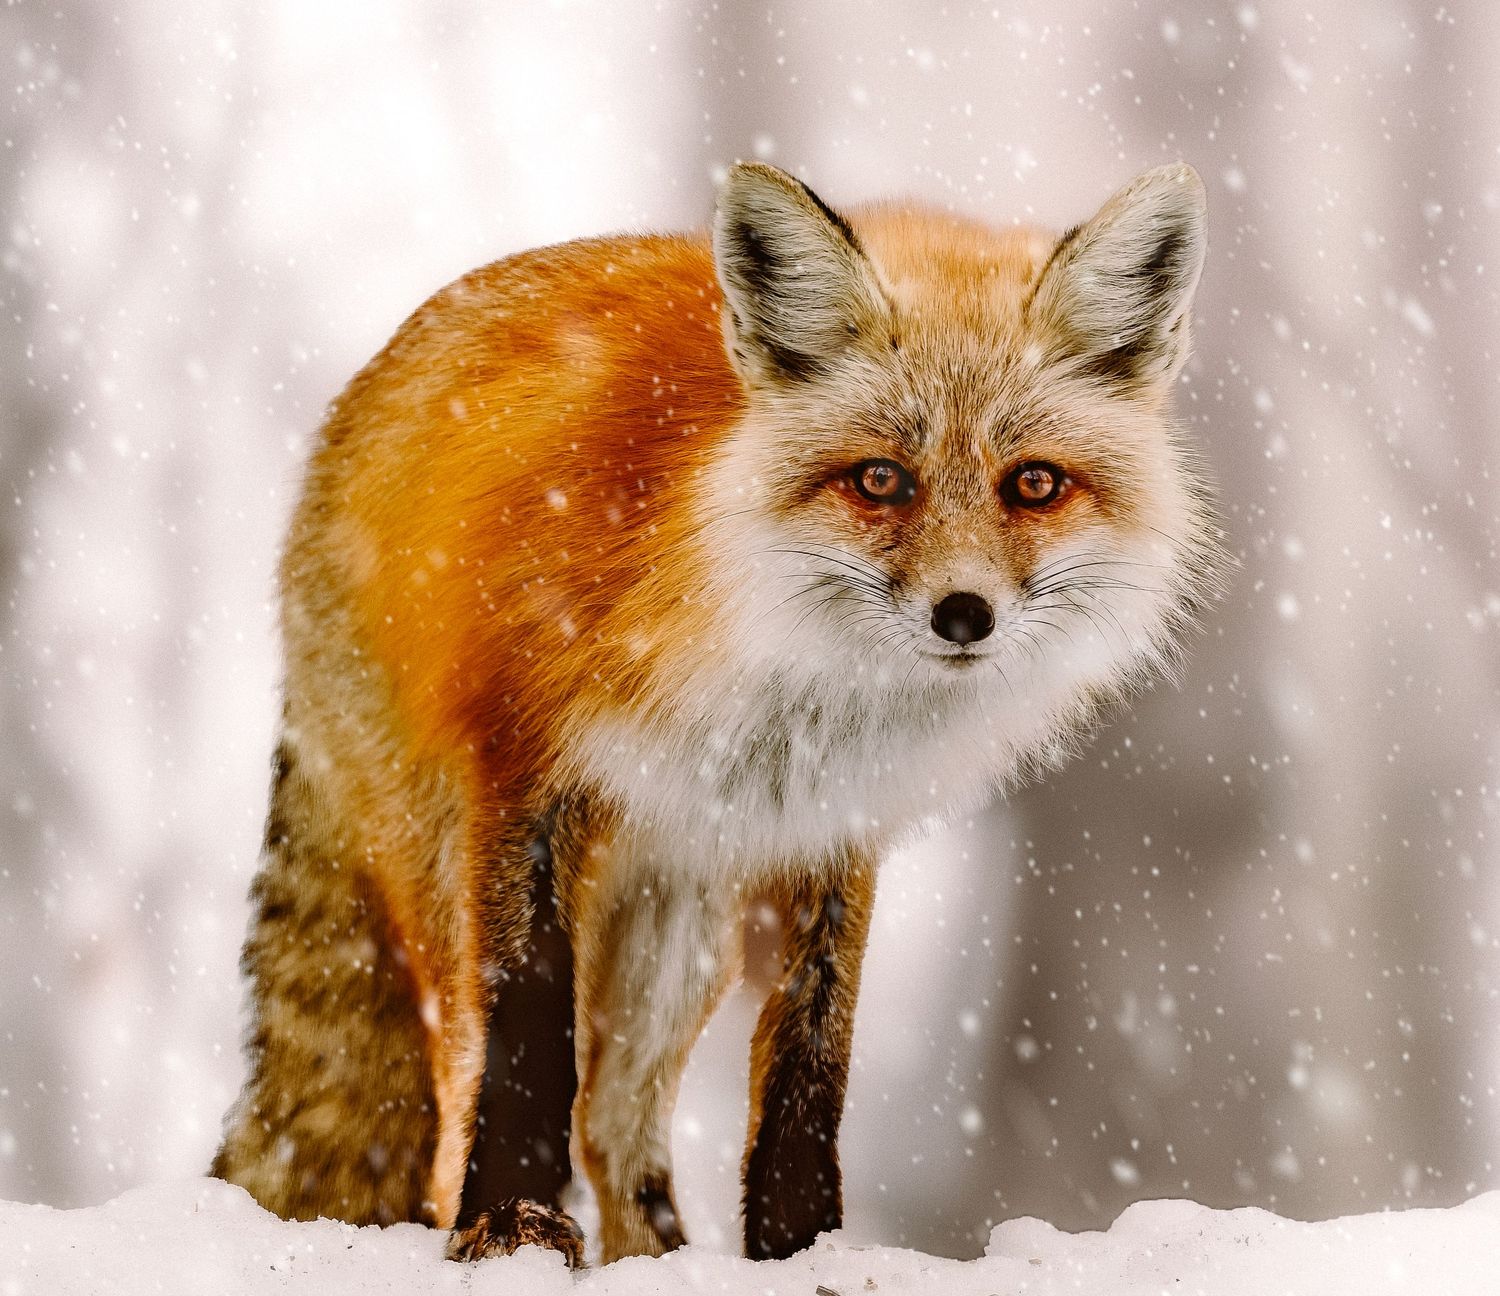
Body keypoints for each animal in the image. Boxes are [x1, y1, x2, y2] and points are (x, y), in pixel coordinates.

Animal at [212, 159, 1222, 1267]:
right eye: (881, 479)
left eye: (1034, 484)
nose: (965, 614)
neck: (782, 680)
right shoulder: (520, 769)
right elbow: (528, 1034)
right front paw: (513, 1229)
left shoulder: (834, 827)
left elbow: (811, 1060)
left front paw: (799, 1250)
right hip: (443, 884)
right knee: (474, 1090)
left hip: (679, 920)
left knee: (615, 1126)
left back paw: (659, 1253)